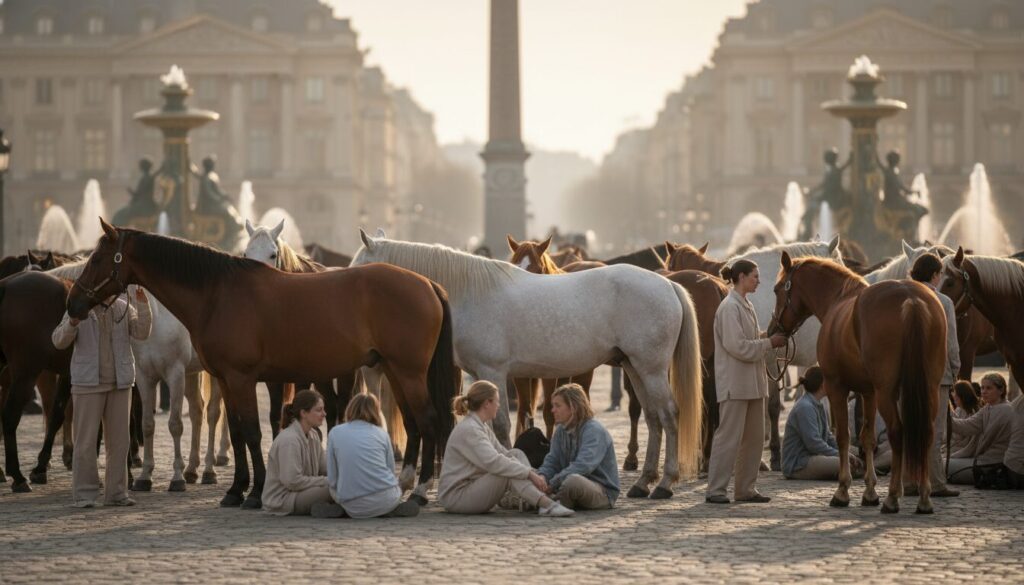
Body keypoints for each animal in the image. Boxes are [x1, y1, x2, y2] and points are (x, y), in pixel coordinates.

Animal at [68, 220, 457, 508]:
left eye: (97, 259)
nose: (73, 303)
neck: (217, 294)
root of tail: (428, 284)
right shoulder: (226, 380)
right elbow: (238, 431)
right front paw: (235, 489)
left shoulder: (242, 379)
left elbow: (254, 431)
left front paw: (254, 492)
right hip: (393, 370)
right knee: (413, 423)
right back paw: (405, 482)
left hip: (407, 372)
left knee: (428, 420)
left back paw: (419, 492)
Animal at [352, 229, 703, 498]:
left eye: (360, 267)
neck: (470, 293)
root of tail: (668, 285)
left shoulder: (493, 371)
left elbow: (500, 425)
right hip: (634, 366)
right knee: (653, 418)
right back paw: (644, 482)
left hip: (651, 369)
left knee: (669, 415)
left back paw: (665, 483)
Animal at [769, 253, 945, 514]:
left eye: (778, 288)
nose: (773, 331)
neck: (838, 300)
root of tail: (911, 300)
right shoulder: (868, 393)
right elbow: (867, 437)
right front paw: (870, 492)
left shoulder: (837, 387)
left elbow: (843, 435)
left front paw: (842, 491)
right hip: (927, 388)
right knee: (926, 433)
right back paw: (923, 498)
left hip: (886, 392)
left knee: (897, 432)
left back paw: (893, 497)